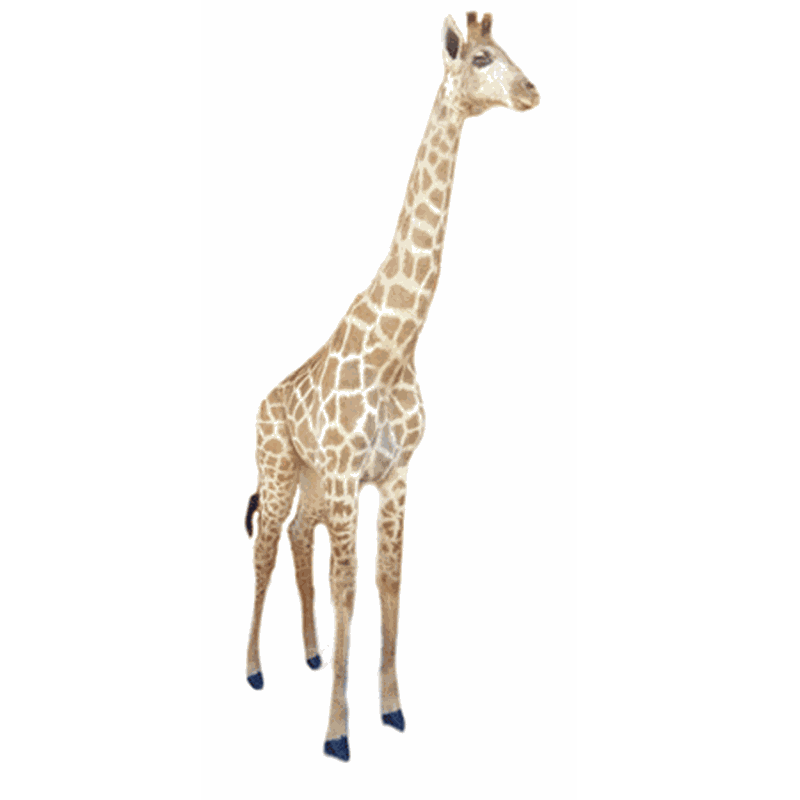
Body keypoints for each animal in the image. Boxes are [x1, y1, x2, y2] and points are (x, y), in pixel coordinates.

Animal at [244, 11, 539, 762]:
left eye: (509, 51)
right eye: (481, 58)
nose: (532, 92)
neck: (398, 344)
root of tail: (262, 403)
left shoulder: (395, 473)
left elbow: (388, 582)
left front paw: (393, 709)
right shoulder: (351, 476)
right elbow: (349, 588)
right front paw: (337, 735)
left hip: (312, 481)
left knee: (298, 537)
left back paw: (311, 654)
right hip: (279, 467)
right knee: (264, 550)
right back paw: (254, 669)